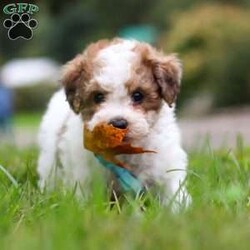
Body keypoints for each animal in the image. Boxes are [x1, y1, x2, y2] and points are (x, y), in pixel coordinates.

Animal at [37, 38, 190, 208]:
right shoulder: (85, 177)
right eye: (98, 97)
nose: (118, 123)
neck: (125, 151)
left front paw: (177, 210)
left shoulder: (166, 168)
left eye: (138, 95)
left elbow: (173, 196)